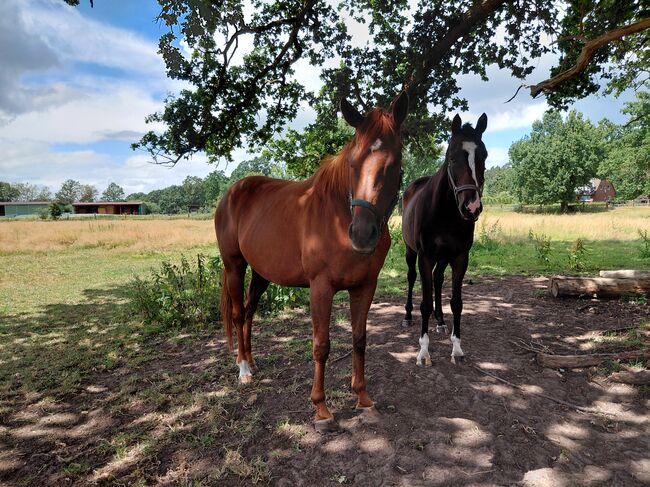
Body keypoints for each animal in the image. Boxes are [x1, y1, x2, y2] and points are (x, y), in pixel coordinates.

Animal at [216, 91, 408, 432]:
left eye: (394, 161)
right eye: (352, 162)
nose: (362, 235)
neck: (337, 216)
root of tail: (231, 194)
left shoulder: (365, 287)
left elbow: (359, 339)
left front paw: (363, 398)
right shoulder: (321, 287)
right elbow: (321, 345)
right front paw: (321, 409)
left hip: (262, 274)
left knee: (250, 312)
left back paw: (251, 361)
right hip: (234, 266)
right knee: (238, 314)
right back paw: (243, 370)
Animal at [401, 113, 488, 365]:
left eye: (484, 156)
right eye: (452, 157)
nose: (471, 207)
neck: (445, 213)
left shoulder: (460, 257)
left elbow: (456, 303)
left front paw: (457, 347)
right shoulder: (425, 256)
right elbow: (424, 303)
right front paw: (423, 351)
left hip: (443, 257)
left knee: (437, 279)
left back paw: (439, 320)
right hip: (411, 251)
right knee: (412, 278)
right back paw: (408, 316)